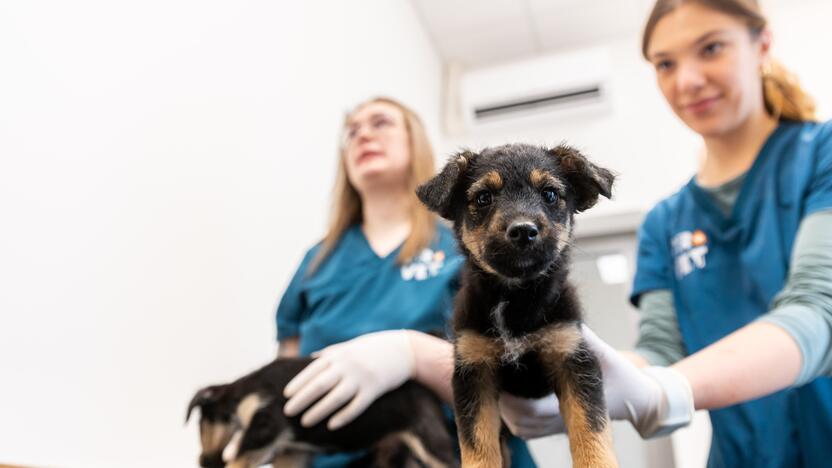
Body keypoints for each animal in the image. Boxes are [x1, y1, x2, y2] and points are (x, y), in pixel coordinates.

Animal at [187, 356, 456, 466]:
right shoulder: (292, 450)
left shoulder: (266, 422)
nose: (203, 462)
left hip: (427, 437)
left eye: (201, 424)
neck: (239, 392)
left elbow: (240, 455)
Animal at [416, 144, 616, 468]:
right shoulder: (473, 371)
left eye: (549, 194)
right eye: (483, 197)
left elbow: (591, 430)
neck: (517, 300)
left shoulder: (573, 357)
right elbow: (477, 446)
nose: (523, 230)